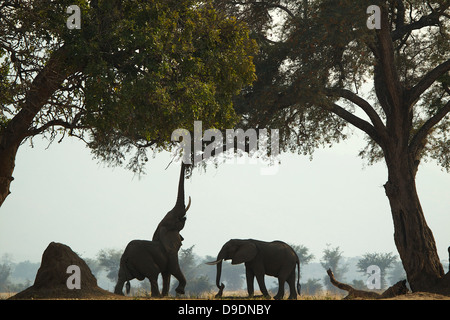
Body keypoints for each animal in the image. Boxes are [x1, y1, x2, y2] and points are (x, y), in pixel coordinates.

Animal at [114, 162, 192, 298]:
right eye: (174, 221)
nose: (186, 163)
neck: (161, 229)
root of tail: (126, 255)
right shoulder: (171, 250)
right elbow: (173, 268)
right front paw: (179, 291)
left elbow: (167, 273)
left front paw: (167, 295)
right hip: (143, 259)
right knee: (153, 273)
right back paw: (156, 296)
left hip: (126, 264)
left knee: (122, 276)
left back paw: (120, 294)